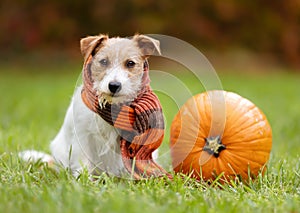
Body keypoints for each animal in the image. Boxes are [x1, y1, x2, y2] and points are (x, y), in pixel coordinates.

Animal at [18, 34, 166, 178]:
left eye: (130, 63)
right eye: (104, 61)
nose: (114, 86)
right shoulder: (83, 136)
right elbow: (83, 163)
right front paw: (83, 180)